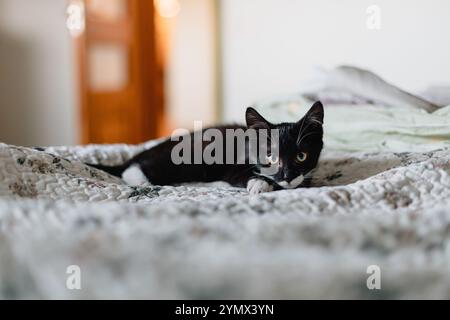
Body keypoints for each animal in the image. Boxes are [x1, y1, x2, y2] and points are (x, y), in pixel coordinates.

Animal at [89, 101, 324, 194]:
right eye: (270, 157)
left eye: (301, 156)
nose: (287, 176)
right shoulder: (235, 165)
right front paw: (260, 184)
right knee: (138, 167)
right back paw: (142, 181)